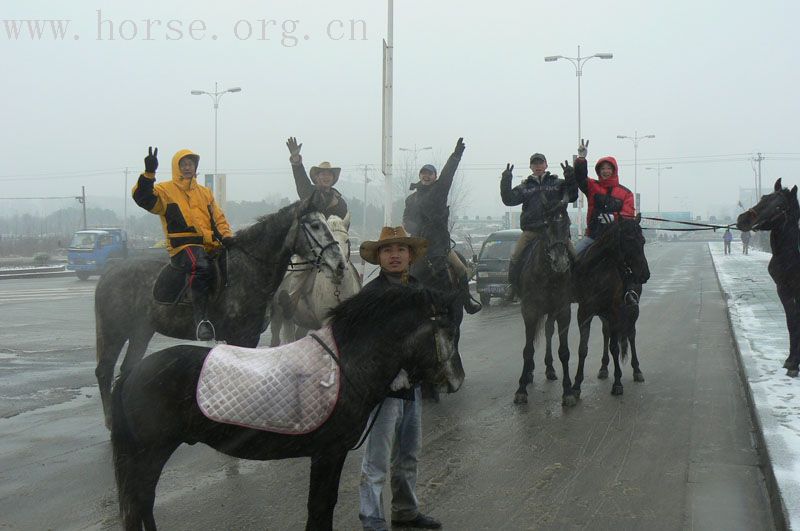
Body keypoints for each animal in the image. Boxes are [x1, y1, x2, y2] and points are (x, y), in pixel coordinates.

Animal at [94, 198, 344, 428]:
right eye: (315, 225)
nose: (339, 264)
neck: (248, 269)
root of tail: (108, 273)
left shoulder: (248, 337)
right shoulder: (241, 337)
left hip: (140, 333)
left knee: (126, 368)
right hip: (114, 333)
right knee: (104, 371)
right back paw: (110, 420)